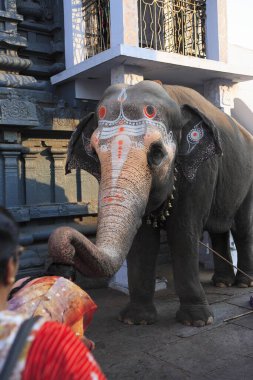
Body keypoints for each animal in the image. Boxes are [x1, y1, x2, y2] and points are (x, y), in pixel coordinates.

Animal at [49, 80, 253, 326]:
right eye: (96, 155)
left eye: (156, 153)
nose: (62, 265)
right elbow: (142, 239)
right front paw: (135, 320)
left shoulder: (201, 171)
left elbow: (183, 232)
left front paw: (197, 321)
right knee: (218, 231)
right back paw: (222, 282)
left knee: (242, 228)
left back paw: (243, 284)